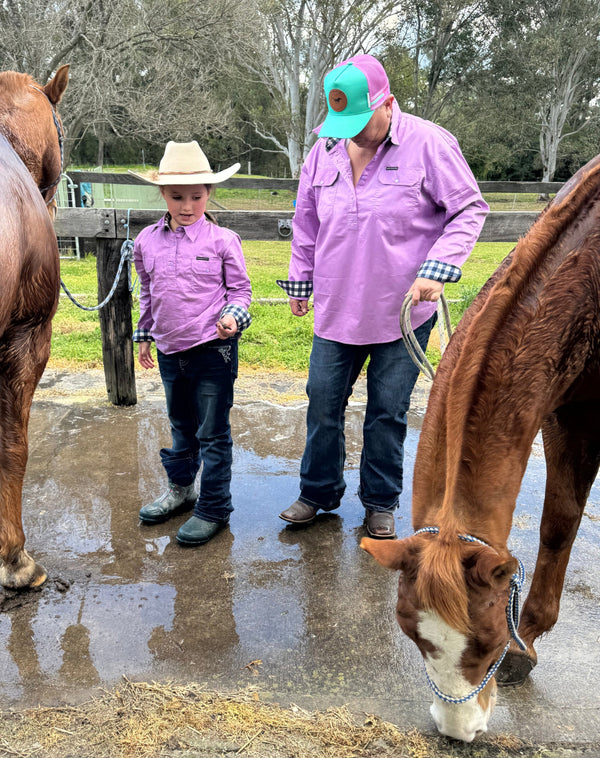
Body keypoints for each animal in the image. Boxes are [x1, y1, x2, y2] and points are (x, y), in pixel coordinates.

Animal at [360, 153, 600, 744]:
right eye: (413, 637)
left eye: (491, 642)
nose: (458, 731)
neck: (587, 273)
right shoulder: (561, 409)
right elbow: (558, 524)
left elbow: (560, 524)